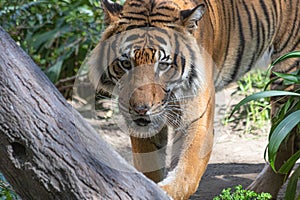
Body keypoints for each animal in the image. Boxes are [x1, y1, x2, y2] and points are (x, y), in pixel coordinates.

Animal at [87, 0, 300, 198]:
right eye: (125, 64)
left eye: (163, 65)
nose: (140, 108)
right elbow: (149, 166)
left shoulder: (196, 118)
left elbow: (186, 173)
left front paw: (165, 191)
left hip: (287, 73)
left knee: (284, 138)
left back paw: (259, 191)